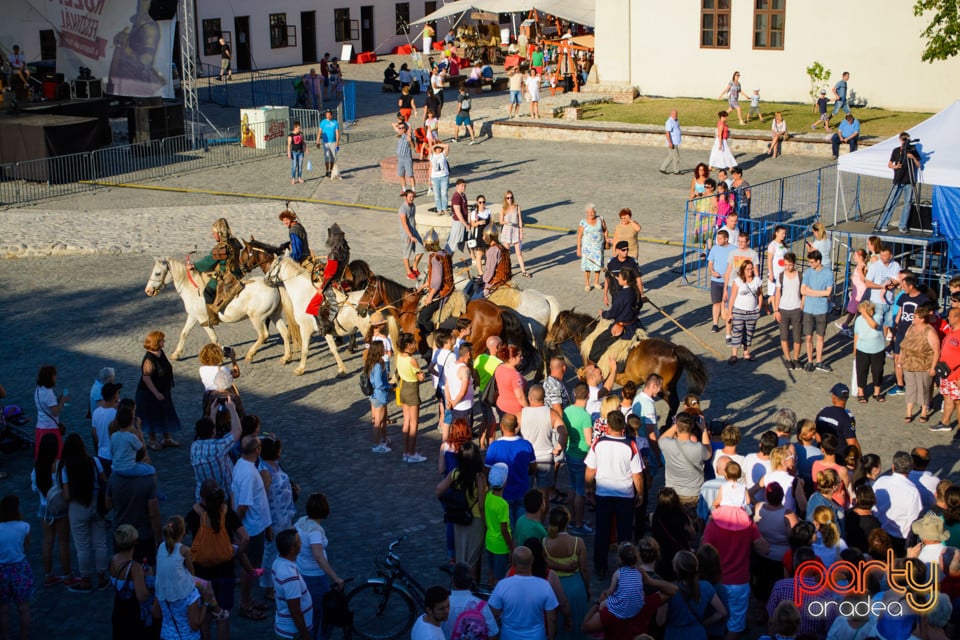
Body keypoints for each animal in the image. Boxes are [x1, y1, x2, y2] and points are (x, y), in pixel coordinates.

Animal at [142, 258, 290, 362]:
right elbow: (184, 333)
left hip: (257, 318)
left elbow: (213, 337)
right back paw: (286, 357)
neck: (192, 288)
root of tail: (272, 284)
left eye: (157, 273)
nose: (148, 291)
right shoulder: (193, 316)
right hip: (274, 315)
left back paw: (250, 355)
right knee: (284, 332)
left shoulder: (203, 319)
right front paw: (176, 354)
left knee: (264, 335)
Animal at [548, 308, 704, 420]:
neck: (589, 335)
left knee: (674, 404)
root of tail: (673, 349)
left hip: (663, 388)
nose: (548, 342)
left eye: (555, 328)